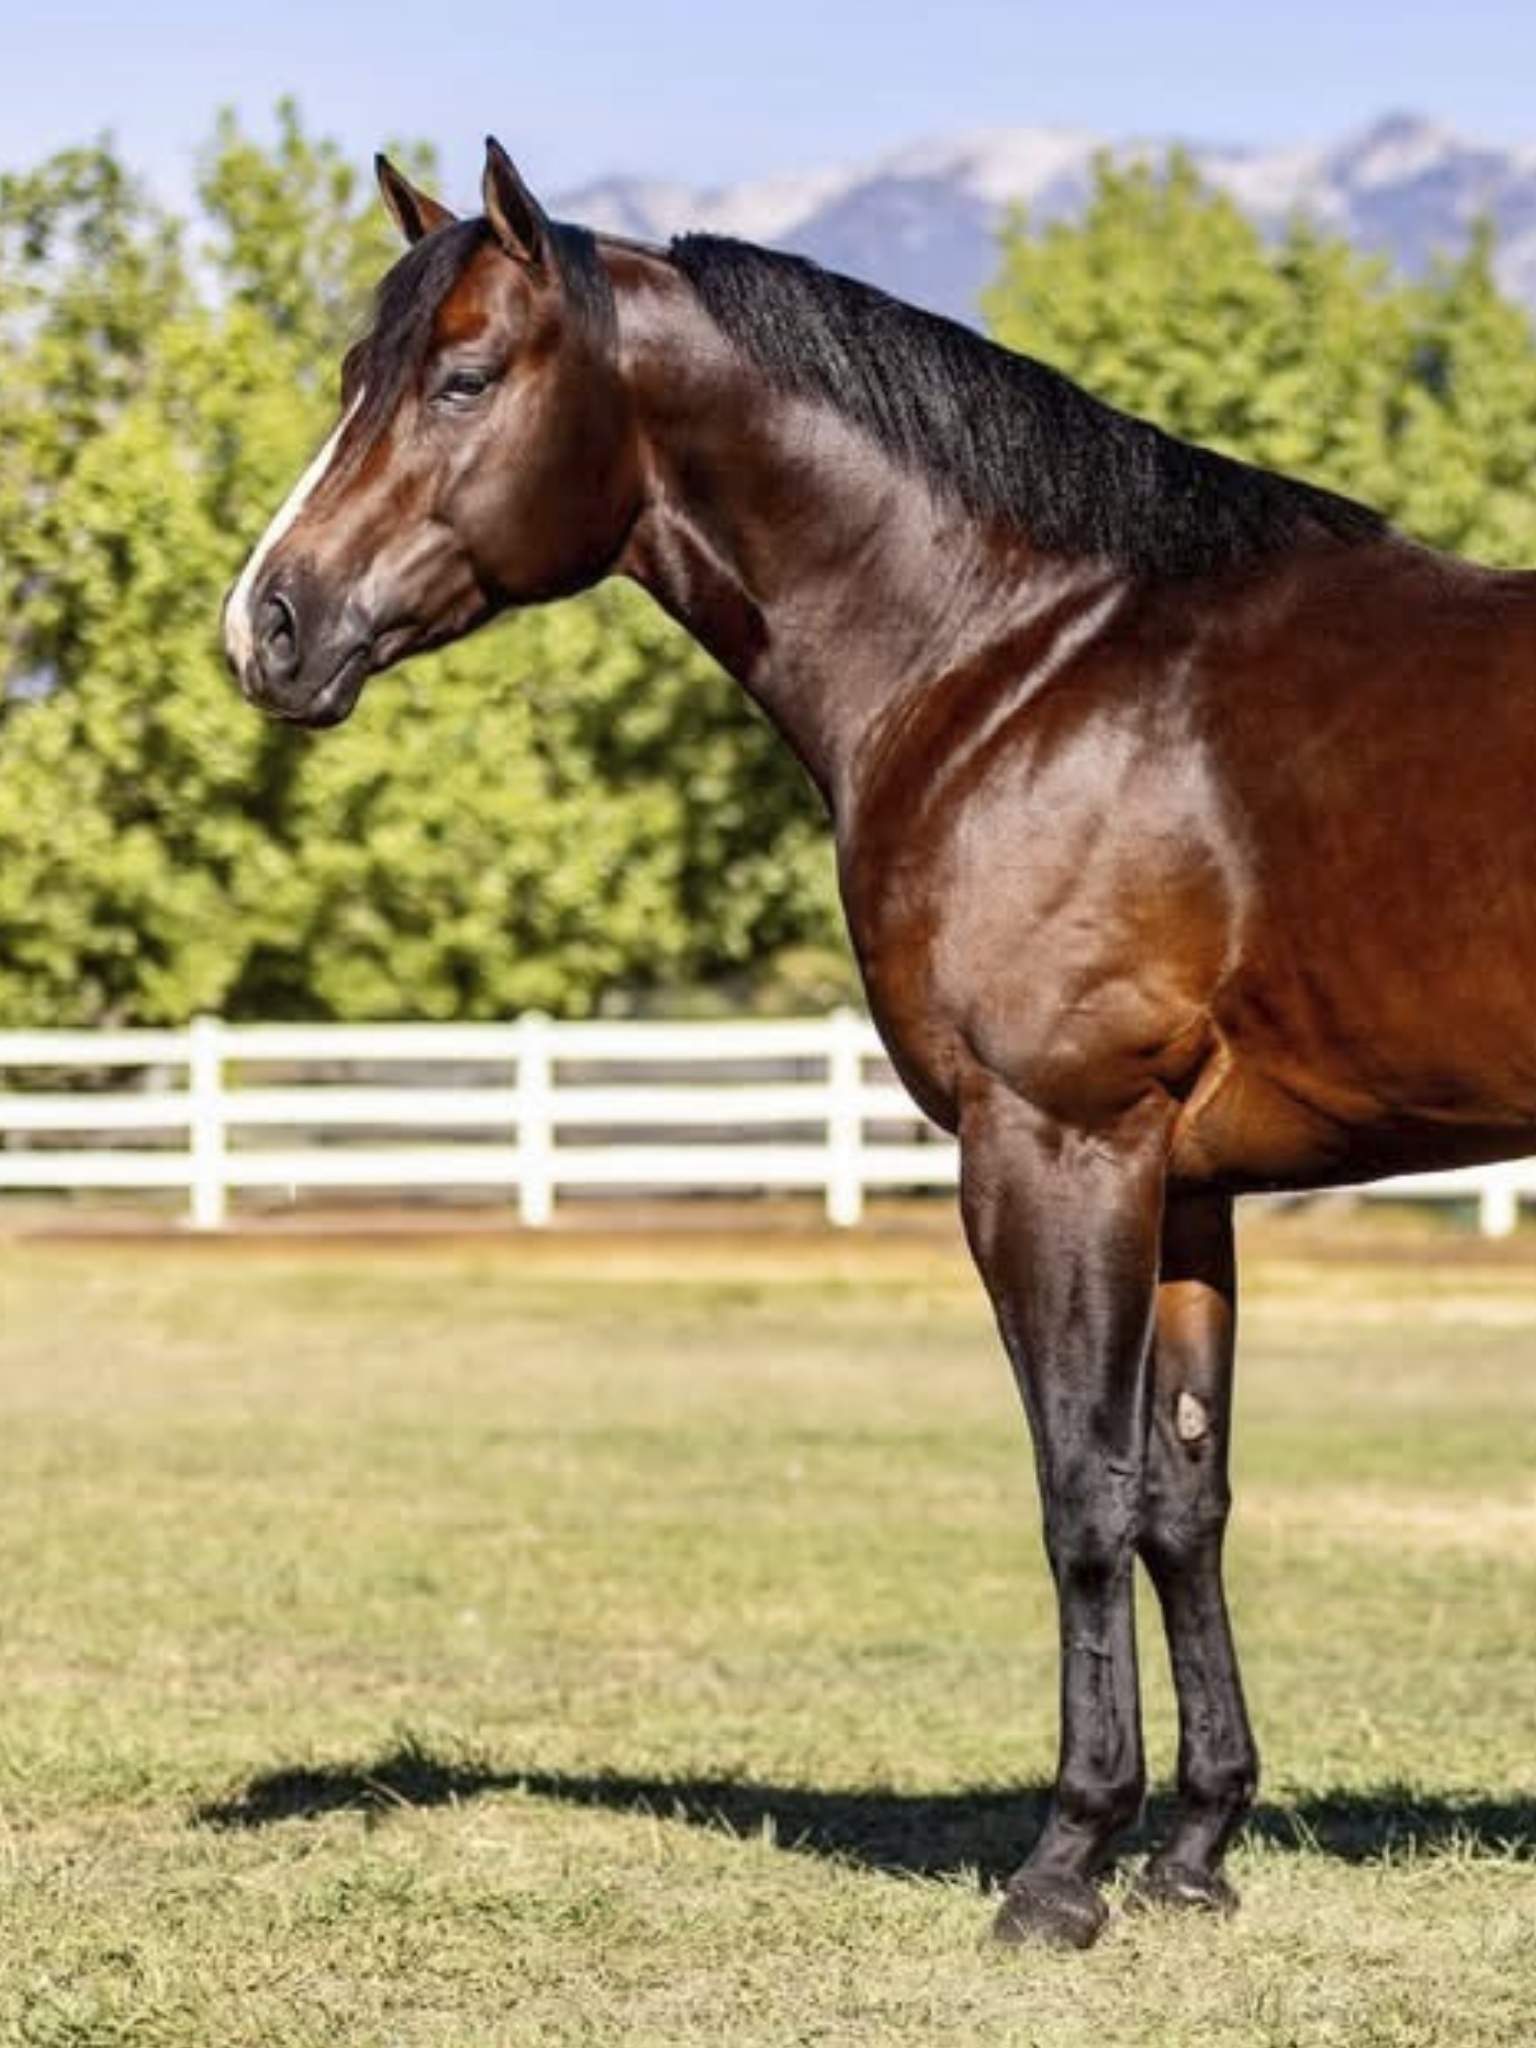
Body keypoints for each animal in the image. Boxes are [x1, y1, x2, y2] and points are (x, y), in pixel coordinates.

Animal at [223, 138, 1536, 1950]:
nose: (266, 625)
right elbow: (1183, 1501)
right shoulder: (1183, 1185)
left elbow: (1083, 1496)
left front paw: (1065, 1865)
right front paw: (1196, 1848)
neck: (1017, 659)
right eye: (360, 372)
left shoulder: (1052, 1150)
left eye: (464, 376)